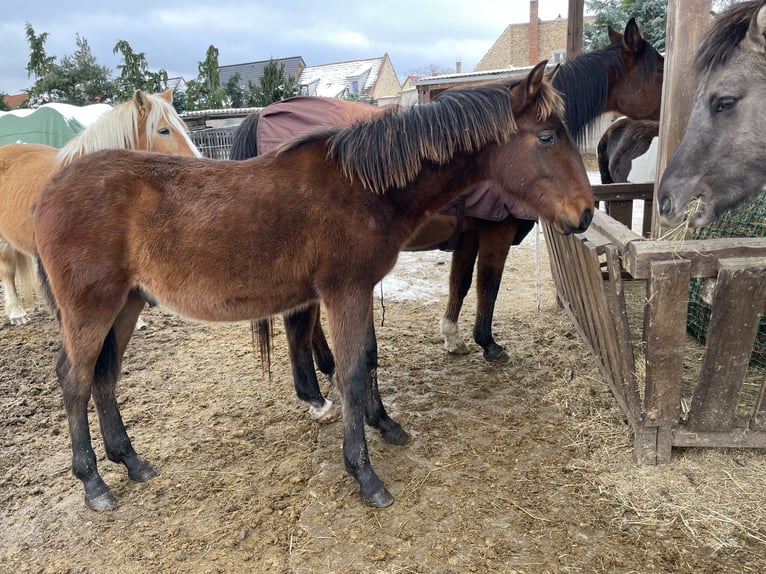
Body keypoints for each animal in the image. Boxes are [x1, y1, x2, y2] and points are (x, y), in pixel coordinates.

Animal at [33, 63, 596, 512]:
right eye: (547, 137)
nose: (586, 213)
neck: (364, 186)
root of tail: (50, 190)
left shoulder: (360, 290)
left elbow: (367, 357)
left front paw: (386, 425)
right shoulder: (345, 291)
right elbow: (349, 373)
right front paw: (364, 474)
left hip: (126, 305)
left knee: (104, 376)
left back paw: (130, 461)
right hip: (92, 309)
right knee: (74, 379)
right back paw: (94, 483)